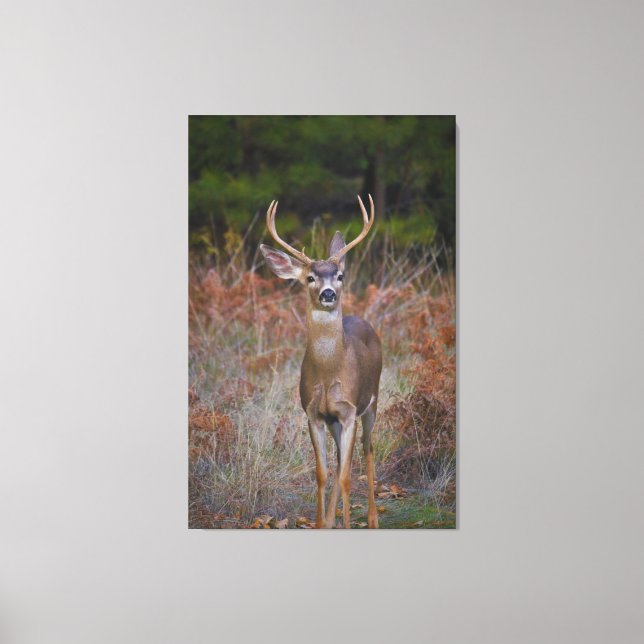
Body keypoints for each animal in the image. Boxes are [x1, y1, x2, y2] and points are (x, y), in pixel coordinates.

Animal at [259, 195, 382, 529]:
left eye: (340, 276)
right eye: (310, 278)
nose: (328, 293)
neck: (328, 374)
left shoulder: (350, 410)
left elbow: (346, 477)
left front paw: (347, 526)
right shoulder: (313, 413)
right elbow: (323, 474)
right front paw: (320, 523)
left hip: (373, 400)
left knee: (367, 449)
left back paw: (373, 519)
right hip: (334, 421)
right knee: (340, 460)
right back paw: (332, 519)